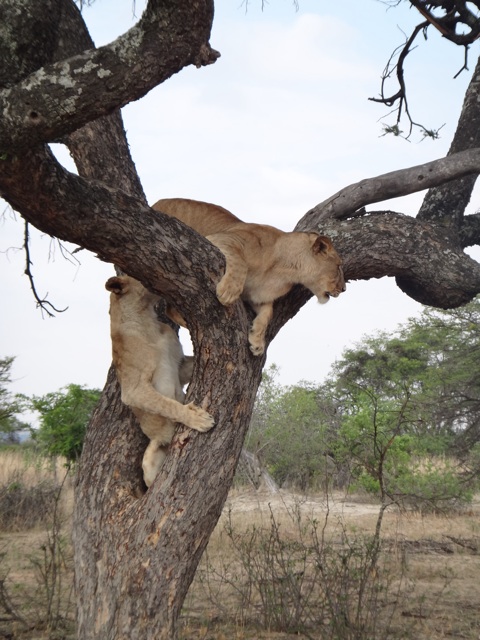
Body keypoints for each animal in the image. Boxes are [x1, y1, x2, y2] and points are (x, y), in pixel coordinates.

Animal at [107, 272, 216, 488]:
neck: (147, 321)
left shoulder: (179, 364)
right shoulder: (134, 389)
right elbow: (166, 405)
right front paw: (197, 419)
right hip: (150, 461)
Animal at [152, 198, 344, 356]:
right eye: (339, 266)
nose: (344, 288)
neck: (285, 271)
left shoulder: (258, 296)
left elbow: (267, 314)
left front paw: (257, 342)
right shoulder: (222, 238)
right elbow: (240, 263)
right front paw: (228, 292)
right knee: (170, 308)